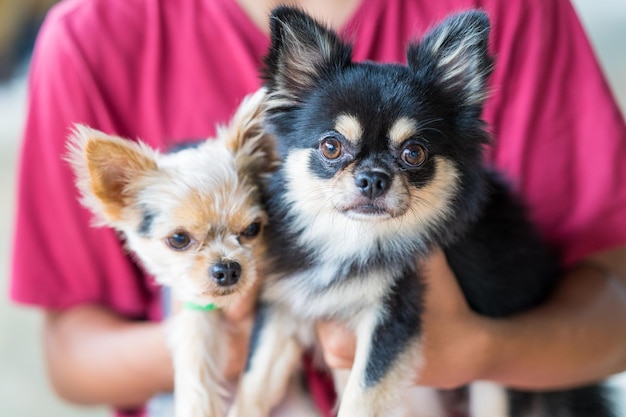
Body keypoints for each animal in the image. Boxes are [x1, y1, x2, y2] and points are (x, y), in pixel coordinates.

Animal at [66, 88, 276, 416]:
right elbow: (194, 342)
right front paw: (198, 405)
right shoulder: (195, 304)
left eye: (253, 229)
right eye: (178, 239)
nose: (228, 268)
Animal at [227, 6, 612, 416]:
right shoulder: (285, 303)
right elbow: (255, 382)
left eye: (414, 153)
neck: (351, 239)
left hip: (497, 385)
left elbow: (362, 396)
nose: (373, 178)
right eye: (331, 147)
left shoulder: (393, 315)